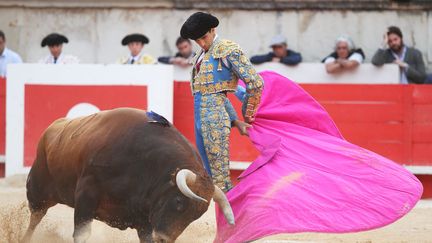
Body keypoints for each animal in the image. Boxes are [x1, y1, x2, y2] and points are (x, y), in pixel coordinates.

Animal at [22, 108, 235, 243]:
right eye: (178, 202)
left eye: (196, 216)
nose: (164, 239)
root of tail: (53, 127)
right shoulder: (86, 195)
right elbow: (81, 234)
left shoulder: (144, 219)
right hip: (38, 191)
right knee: (35, 218)